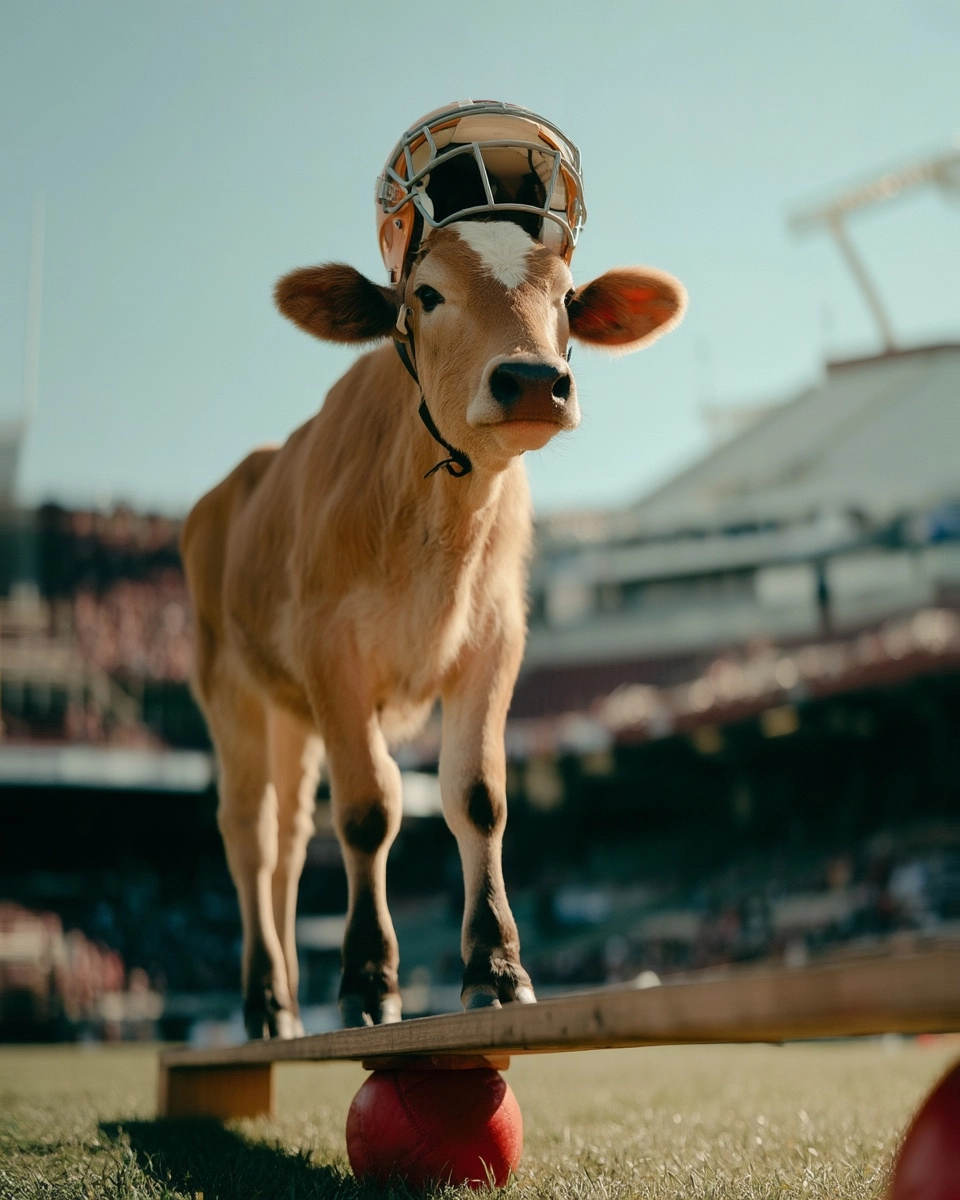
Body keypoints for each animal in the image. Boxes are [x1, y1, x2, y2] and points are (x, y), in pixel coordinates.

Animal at [181, 217, 685, 1037]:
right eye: (427, 293)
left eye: (566, 296)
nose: (534, 380)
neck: (443, 517)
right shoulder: (333, 652)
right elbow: (369, 808)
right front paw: (367, 982)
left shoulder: (494, 641)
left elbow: (477, 796)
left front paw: (496, 970)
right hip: (229, 690)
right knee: (250, 836)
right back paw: (266, 1004)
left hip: (291, 711)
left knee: (289, 841)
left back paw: (287, 997)